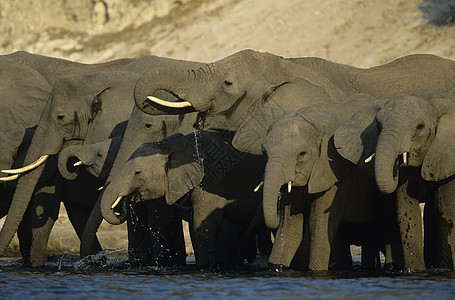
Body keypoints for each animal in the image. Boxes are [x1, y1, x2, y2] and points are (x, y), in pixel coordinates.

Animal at [98, 131, 268, 268]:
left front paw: (205, 267)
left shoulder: (211, 179)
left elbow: (204, 223)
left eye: (137, 172)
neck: (171, 146)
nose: (124, 201)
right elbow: (193, 223)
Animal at [262, 94, 404, 272]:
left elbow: (319, 229)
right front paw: (277, 268)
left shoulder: (334, 171)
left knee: (387, 224)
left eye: (302, 154)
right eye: (264, 152)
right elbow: (289, 229)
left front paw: (317, 272)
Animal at [334, 88, 455, 270]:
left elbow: (446, 212)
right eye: (378, 126)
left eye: (419, 127)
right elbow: (407, 211)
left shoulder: (446, 156)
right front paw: (414, 271)